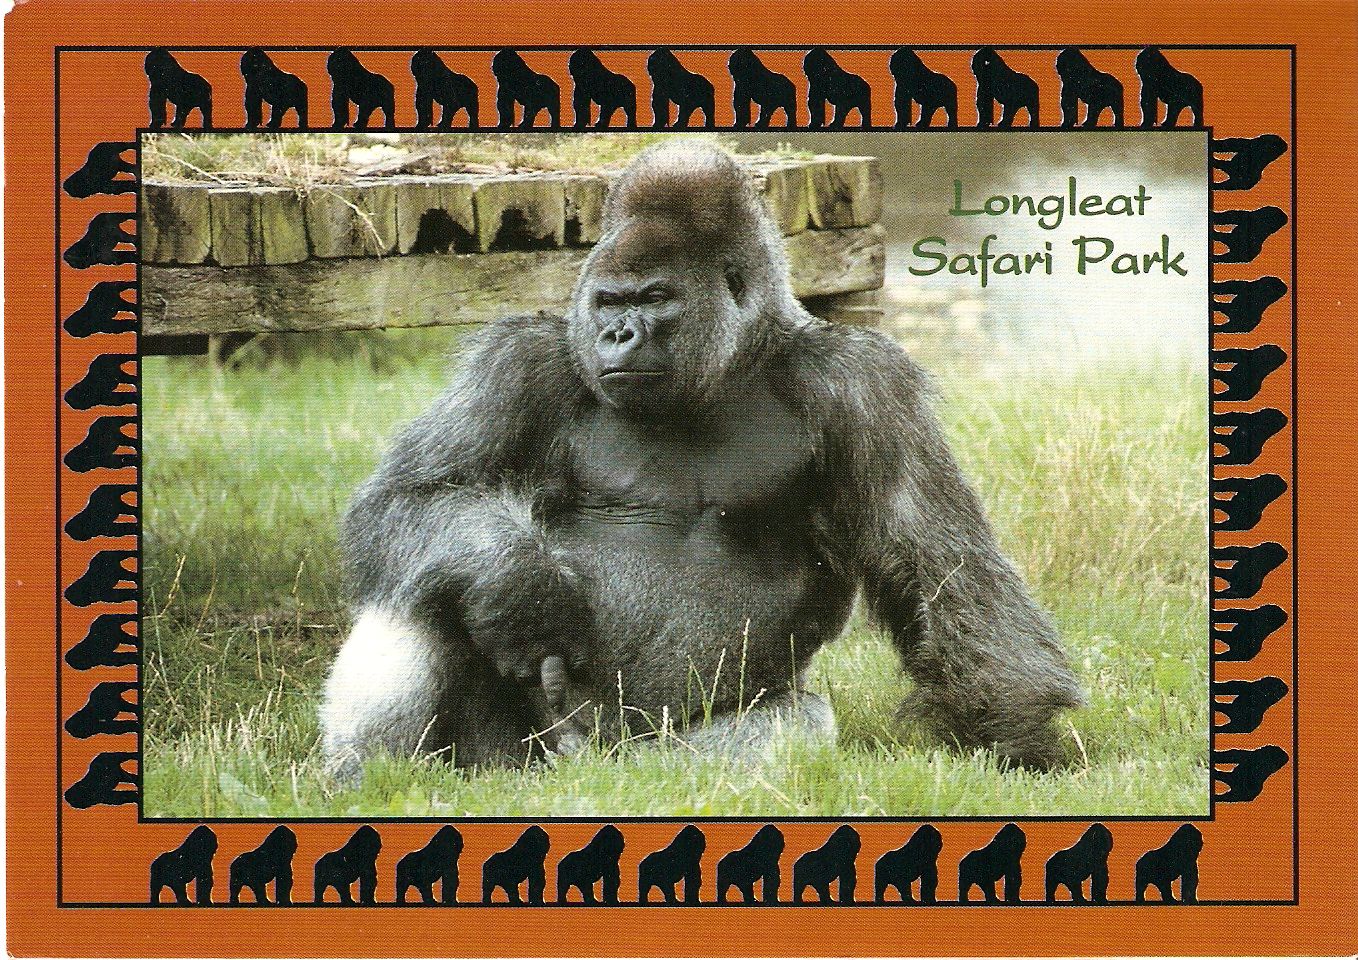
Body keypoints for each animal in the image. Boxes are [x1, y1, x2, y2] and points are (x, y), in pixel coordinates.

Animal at [319, 141, 1084, 786]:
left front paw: (1021, 738)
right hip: (510, 759)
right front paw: (521, 586)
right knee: (430, 583)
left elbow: (938, 562)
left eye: (656, 299)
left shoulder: (868, 386)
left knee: (790, 735)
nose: (616, 335)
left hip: (649, 758)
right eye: (609, 301)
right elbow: (413, 496)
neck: (732, 361)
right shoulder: (519, 363)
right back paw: (374, 781)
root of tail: (584, 762)